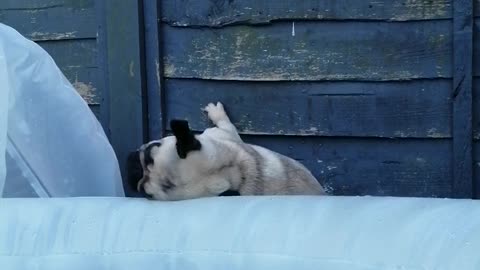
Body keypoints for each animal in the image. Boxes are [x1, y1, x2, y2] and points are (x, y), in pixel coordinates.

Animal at [126, 102, 326, 200]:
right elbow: (225, 123)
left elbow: (225, 123)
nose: (135, 174)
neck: (232, 168)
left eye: (147, 194)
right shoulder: (224, 136)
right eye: (150, 153)